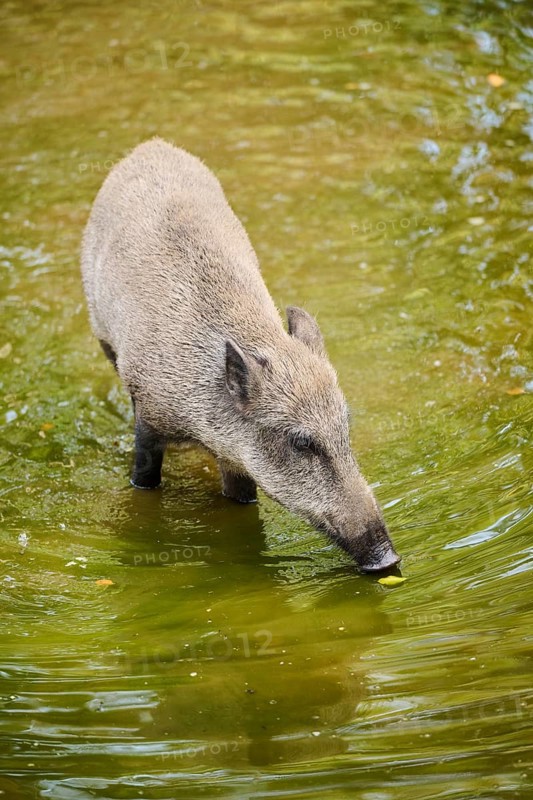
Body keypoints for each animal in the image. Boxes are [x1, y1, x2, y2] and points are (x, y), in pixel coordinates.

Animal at [81, 137, 400, 572]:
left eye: (345, 427)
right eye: (302, 443)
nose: (389, 558)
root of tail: (151, 146)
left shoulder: (238, 461)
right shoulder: (149, 415)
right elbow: (144, 480)